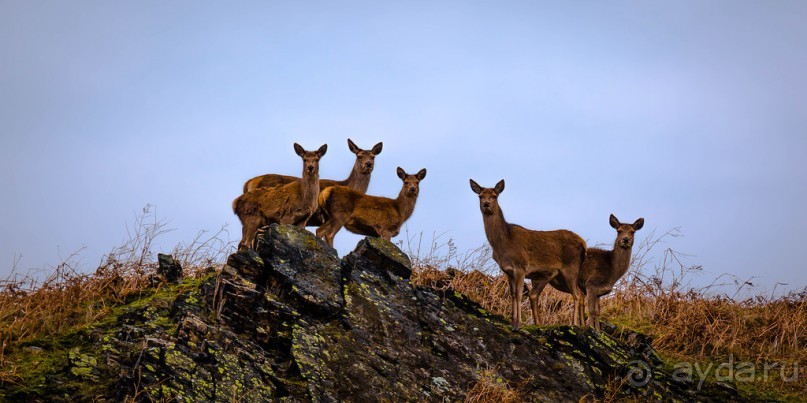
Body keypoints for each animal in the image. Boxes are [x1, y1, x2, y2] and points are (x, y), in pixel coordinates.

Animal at [468, 180, 588, 332]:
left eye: (495, 196)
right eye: (480, 196)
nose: (486, 204)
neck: (503, 244)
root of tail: (583, 244)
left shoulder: (521, 267)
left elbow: (519, 294)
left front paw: (518, 324)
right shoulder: (507, 271)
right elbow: (513, 294)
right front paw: (512, 322)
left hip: (570, 268)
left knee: (577, 294)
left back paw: (574, 324)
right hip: (558, 278)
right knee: (581, 293)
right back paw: (584, 326)